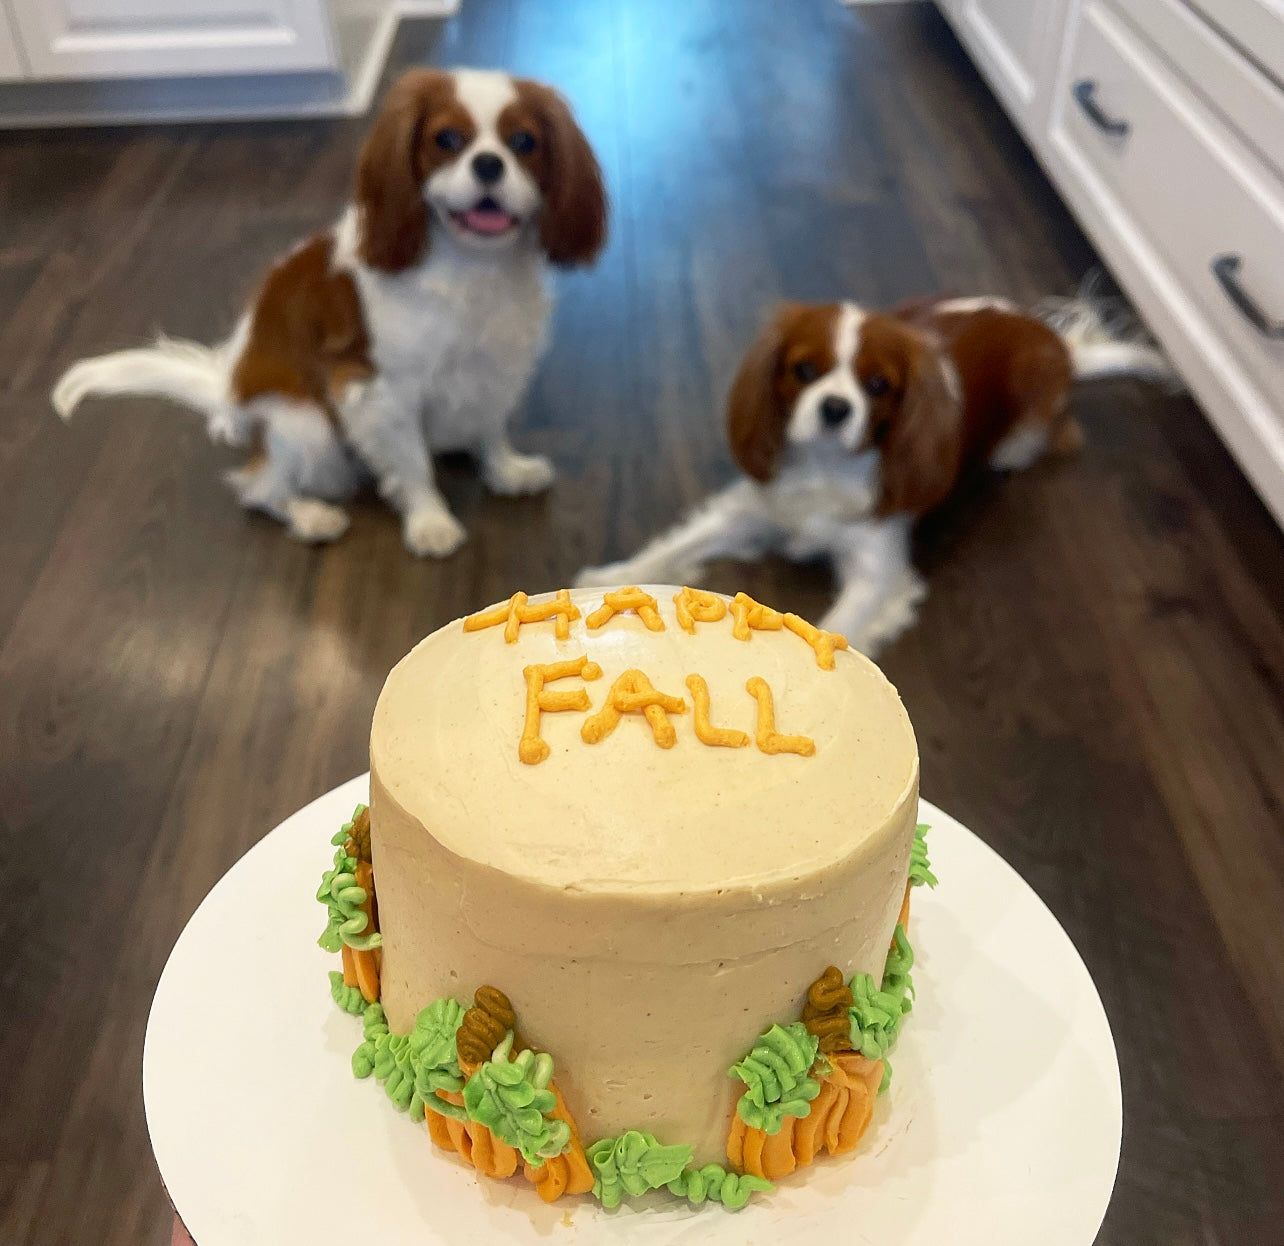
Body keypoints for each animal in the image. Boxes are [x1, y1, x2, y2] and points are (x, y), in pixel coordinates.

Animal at [53, 68, 606, 554]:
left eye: (525, 143)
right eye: (447, 139)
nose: (488, 163)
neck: (470, 266)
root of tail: (232, 397)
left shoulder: (495, 367)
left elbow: (490, 428)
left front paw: (506, 470)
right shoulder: (378, 391)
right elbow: (412, 464)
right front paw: (430, 522)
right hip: (308, 430)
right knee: (258, 488)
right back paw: (309, 515)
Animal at [582, 298, 1176, 655]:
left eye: (877, 384)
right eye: (804, 370)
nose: (835, 407)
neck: (826, 464)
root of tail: (1058, 344)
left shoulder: (879, 572)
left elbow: (842, 621)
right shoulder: (755, 510)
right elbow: (675, 546)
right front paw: (611, 581)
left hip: (1028, 429)